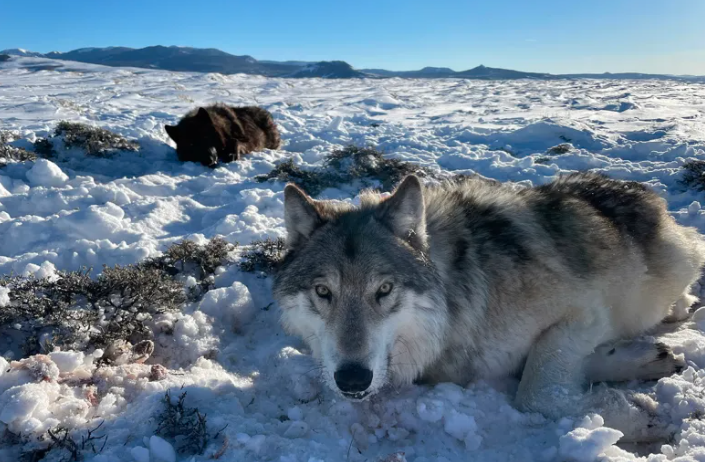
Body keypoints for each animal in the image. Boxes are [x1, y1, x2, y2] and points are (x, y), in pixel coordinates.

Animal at [273, 171, 705, 442]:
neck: (457, 300)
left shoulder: (584, 311)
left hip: (678, 262)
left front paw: (639, 418)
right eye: (323, 291)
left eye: (384, 289)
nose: (351, 380)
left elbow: (536, 391)